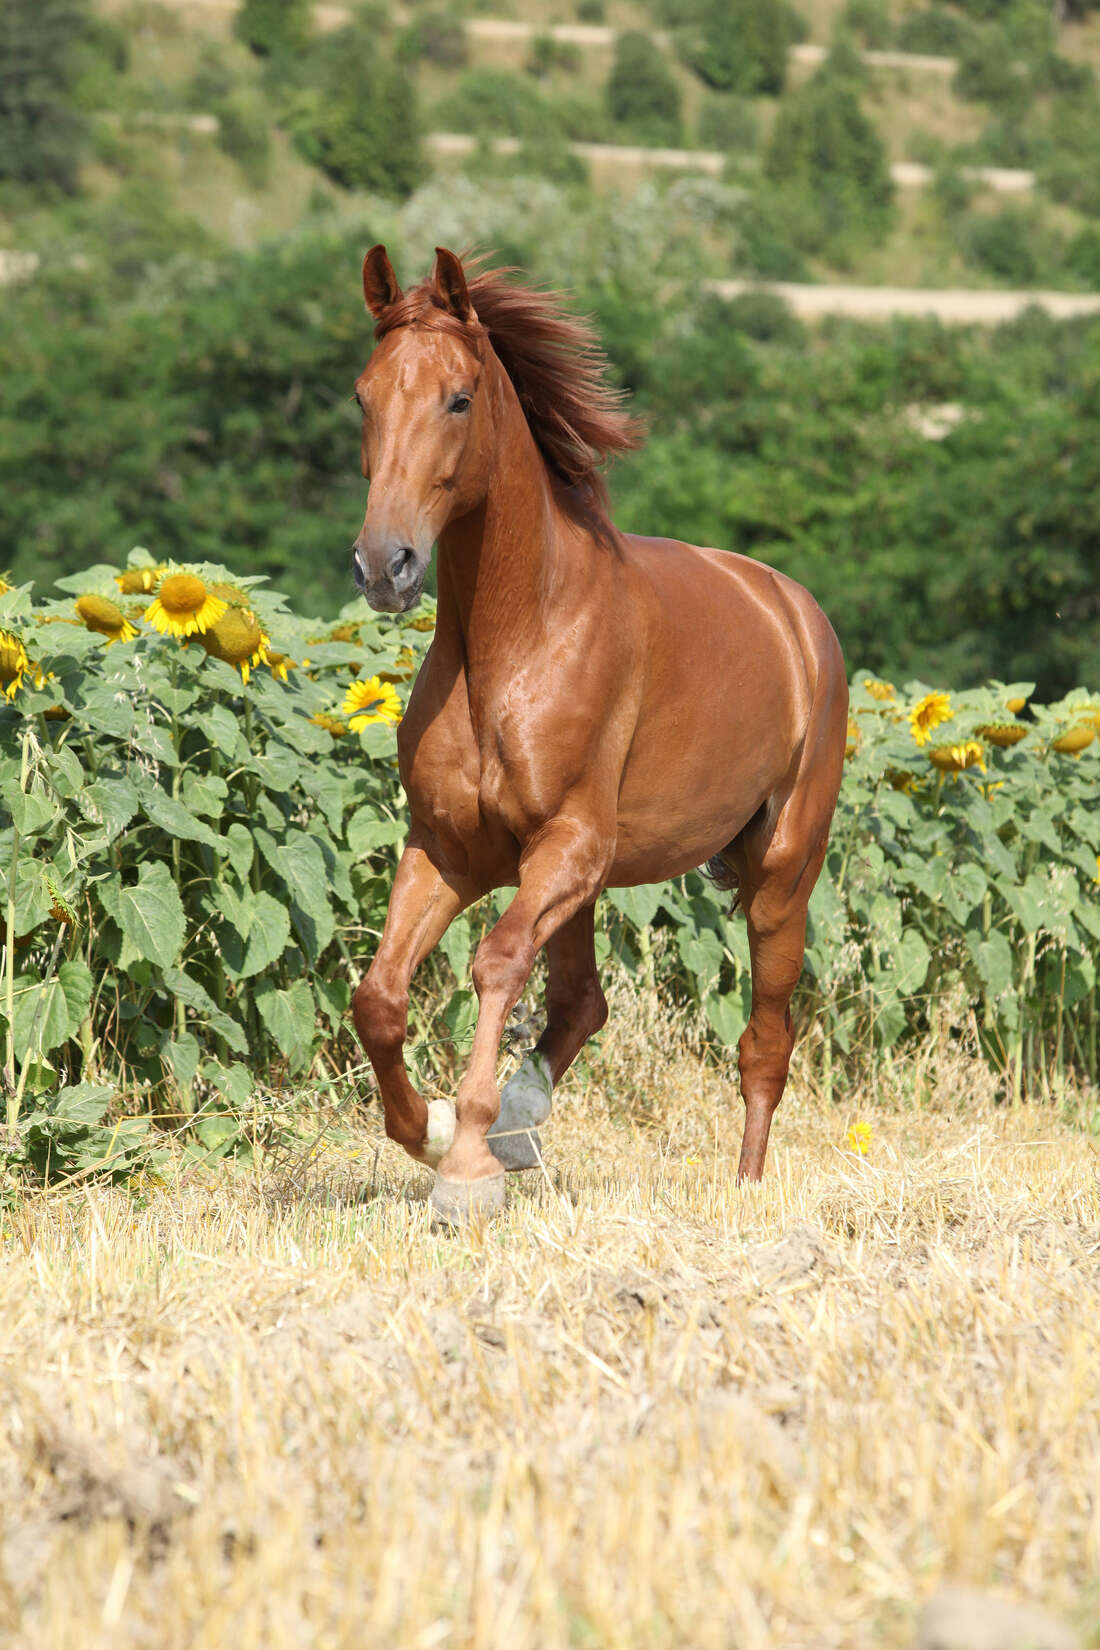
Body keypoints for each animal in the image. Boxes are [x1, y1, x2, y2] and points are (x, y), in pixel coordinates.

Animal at [348, 245, 848, 1223]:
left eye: (458, 398)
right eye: (363, 395)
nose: (385, 566)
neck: (517, 638)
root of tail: (794, 610)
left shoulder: (570, 841)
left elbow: (497, 962)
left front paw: (466, 1166)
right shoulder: (451, 850)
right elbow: (380, 996)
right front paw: (432, 1131)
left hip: (777, 878)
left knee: (765, 1039)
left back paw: (744, 1186)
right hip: (581, 879)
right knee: (582, 1002)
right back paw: (522, 1121)